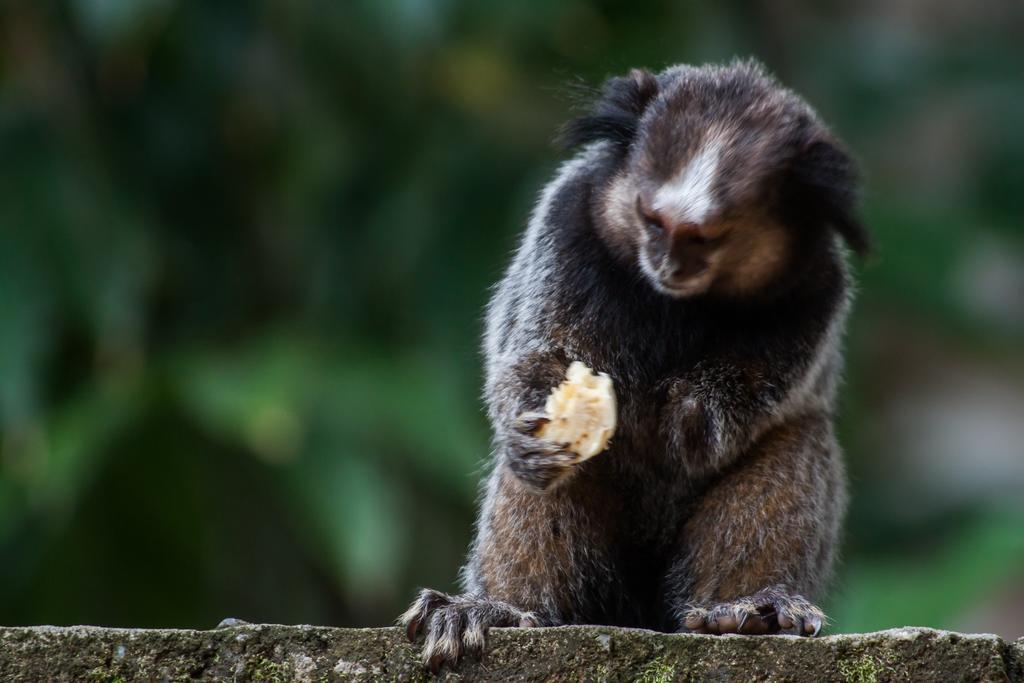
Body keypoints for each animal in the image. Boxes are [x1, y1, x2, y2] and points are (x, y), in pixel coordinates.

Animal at [397, 57, 864, 671]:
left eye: (706, 238)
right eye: (652, 220)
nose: (668, 265)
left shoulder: (818, 285)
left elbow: (754, 398)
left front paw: (686, 414)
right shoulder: (565, 222)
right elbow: (530, 349)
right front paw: (544, 418)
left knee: (795, 442)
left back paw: (745, 609)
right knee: (550, 480)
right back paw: (498, 609)